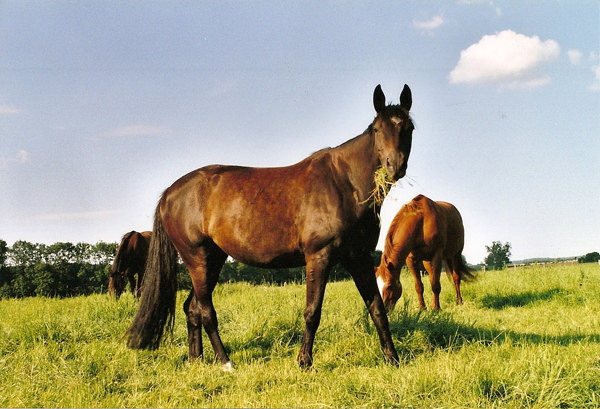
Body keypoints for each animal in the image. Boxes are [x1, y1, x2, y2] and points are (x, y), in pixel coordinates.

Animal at [125, 84, 418, 368]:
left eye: (409, 128)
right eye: (378, 129)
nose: (395, 166)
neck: (343, 183)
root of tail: (170, 193)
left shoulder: (358, 257)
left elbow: (377, 308)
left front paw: (393, 359)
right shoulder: (319, 256)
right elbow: (313, 311)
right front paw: (304, 361)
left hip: (213, 260)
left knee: (192, 309)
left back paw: (197, 360)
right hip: (197, 259)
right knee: (206, 312)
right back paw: (225, 362)